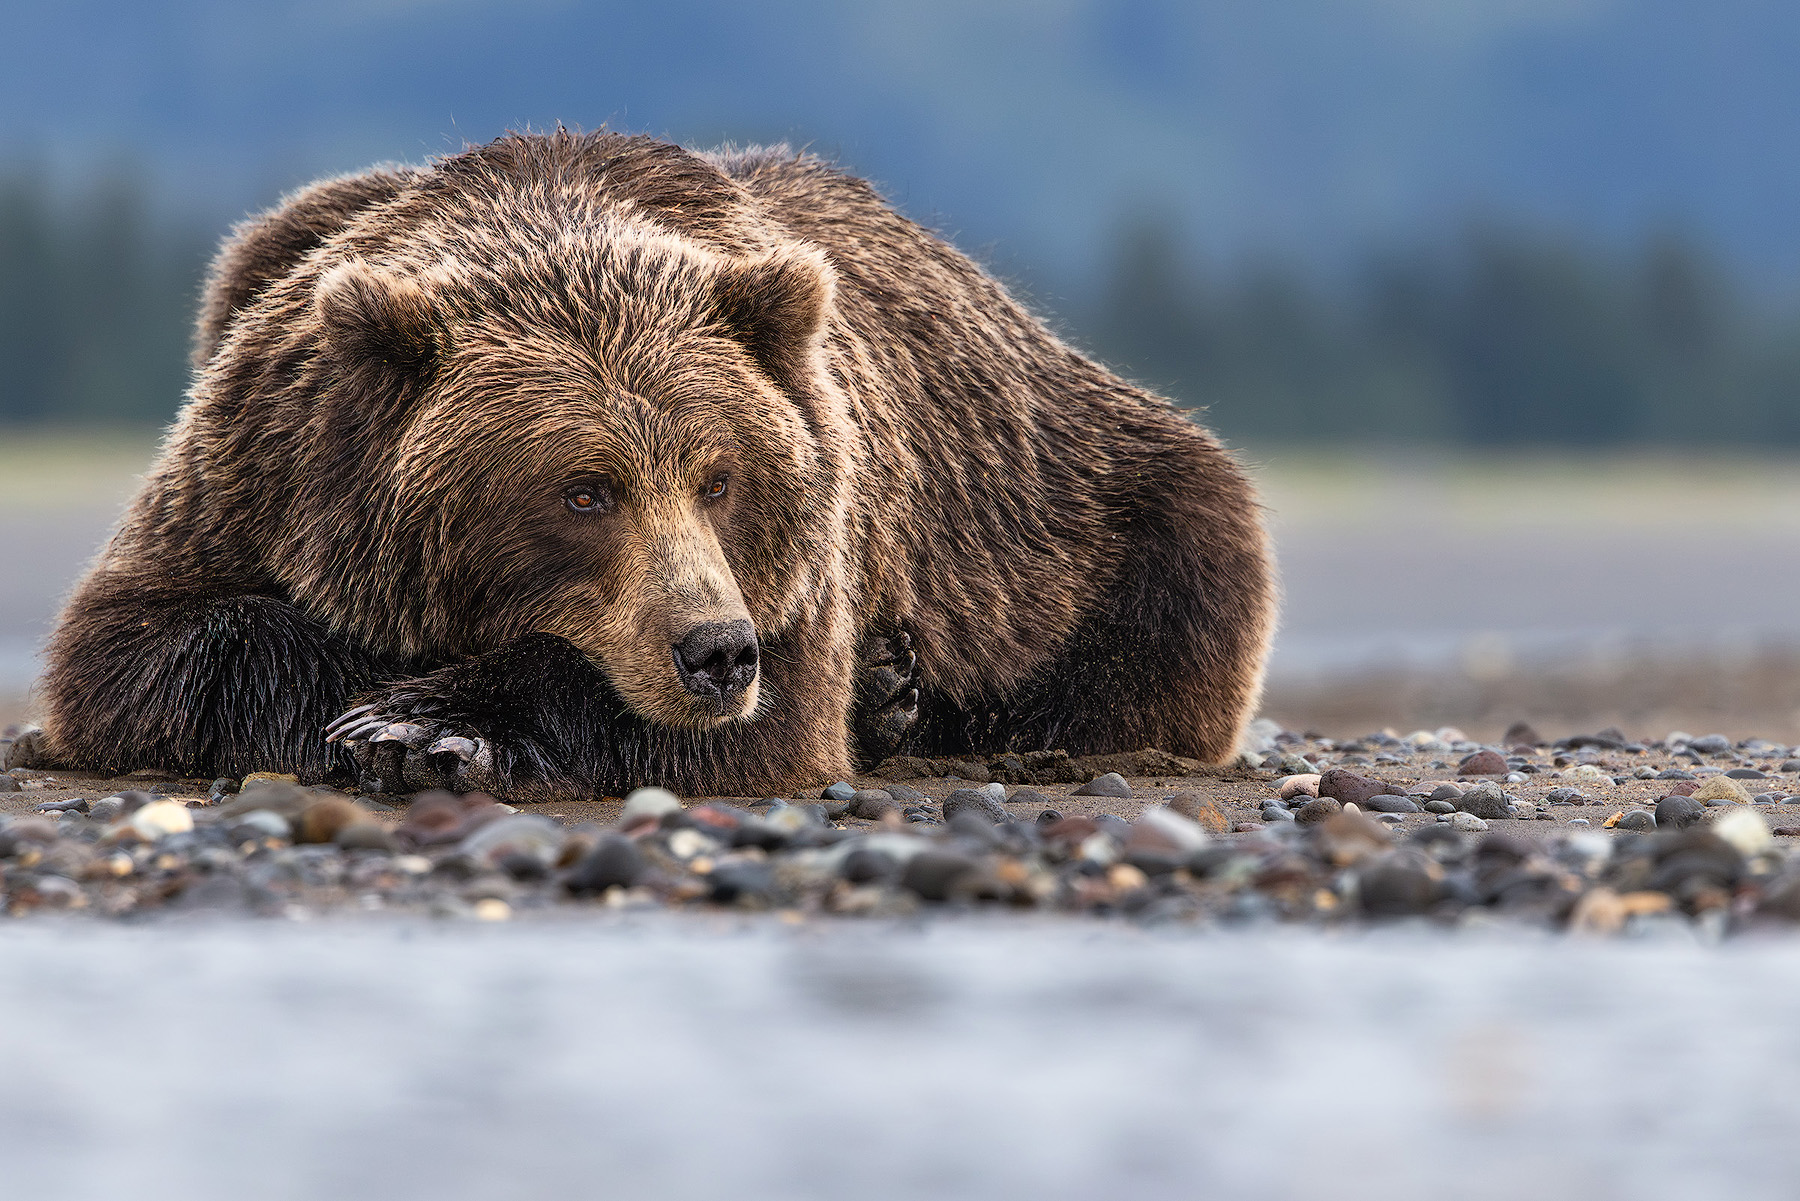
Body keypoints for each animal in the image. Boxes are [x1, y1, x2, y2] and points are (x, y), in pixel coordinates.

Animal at [39, 130, 1275, 802]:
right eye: (581, 491)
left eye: (721, 477)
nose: (714, 650)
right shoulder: (257, 467)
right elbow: (140, 646)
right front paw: (374, 692)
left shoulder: (808, 554)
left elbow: (762, 725)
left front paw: (427, 724)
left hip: (1076, 509)